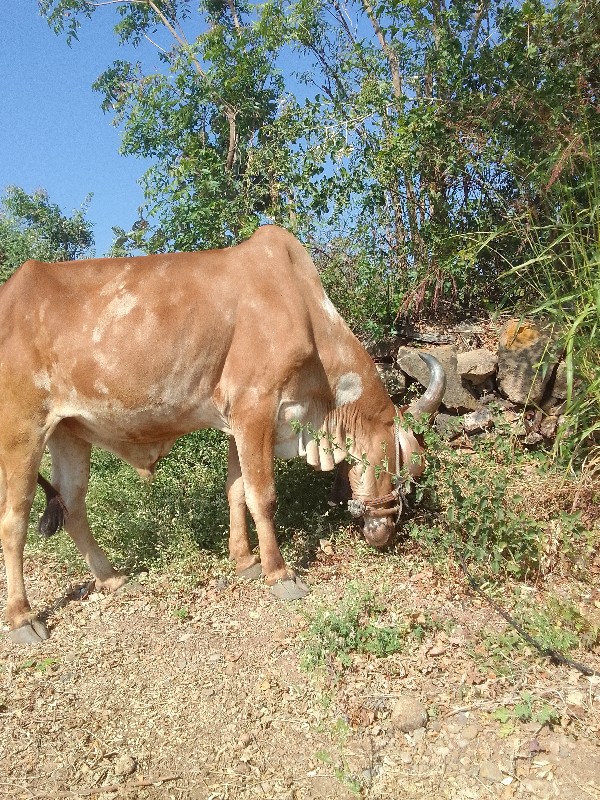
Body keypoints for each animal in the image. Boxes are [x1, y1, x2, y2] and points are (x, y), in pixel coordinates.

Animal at [0, 227, 442, 644]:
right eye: (408, 467)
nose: (385, 532)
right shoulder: (255, 407)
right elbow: (263, 496)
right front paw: (279, 573)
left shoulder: (237, 422)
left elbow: (237, 490)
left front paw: (245, 561)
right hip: (22, 430)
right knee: (14, 519)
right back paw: (23, 618)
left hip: (68, 432)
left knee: (73, 504)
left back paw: (111, 578)